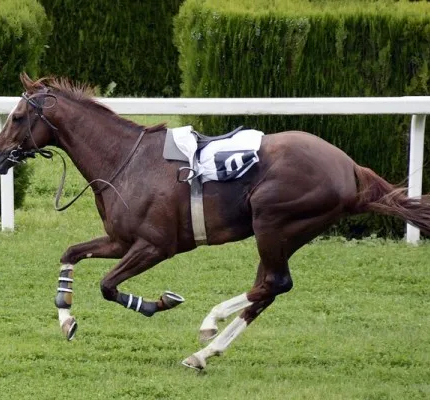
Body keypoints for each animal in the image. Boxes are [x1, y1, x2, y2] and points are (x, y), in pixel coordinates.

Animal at [0, 73, 430, 370]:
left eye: (17, 116)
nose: (2, 155)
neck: (125, 160)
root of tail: (350, 168)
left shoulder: (156, 246)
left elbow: (108, 286)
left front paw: (158, 303)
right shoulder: (120, 240)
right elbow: (70, 253)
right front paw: (66, 319)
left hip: (272, 221)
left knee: (274, 283)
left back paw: (210, 323)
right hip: (283, 233)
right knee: (267, 289)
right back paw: (204, 353)